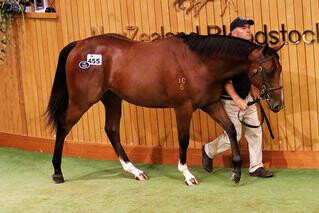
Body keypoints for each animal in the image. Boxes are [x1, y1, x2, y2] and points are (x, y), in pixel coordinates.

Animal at [46, 32, 284, 186]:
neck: (198, 62)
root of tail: (79, 46)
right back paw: (57, 172)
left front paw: (236, 173)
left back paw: (135, 171)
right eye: (269, 70)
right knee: (64, 125)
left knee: (111, 130)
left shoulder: (211, 104)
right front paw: (187, 175)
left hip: (112, 99)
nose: (277, 105)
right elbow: (183, 140)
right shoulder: (183, 108)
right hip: (82, 100)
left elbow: (231, 130)